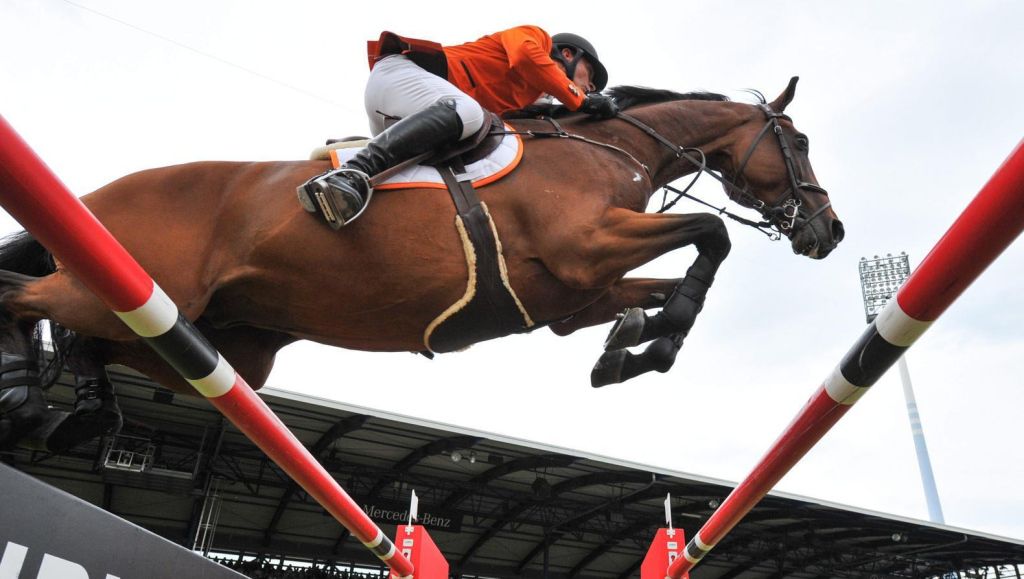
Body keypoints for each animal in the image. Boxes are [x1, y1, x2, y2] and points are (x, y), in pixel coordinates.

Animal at [0, 75, 843, 446]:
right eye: (799, 141)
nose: (830, 230)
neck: (609, 149)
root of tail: (97, 194)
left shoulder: (572, 297)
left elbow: (662, 288)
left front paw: (633, 345)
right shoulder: (584, 248)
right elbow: (711, 235)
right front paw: (649, 340)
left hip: (212, 341)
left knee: (80, 332)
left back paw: (81, 405)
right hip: (124, 292)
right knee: (19, 293)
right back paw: (25, 391)